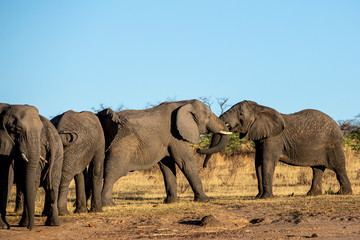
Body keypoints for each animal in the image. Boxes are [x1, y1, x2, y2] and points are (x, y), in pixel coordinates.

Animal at [97, 99, 231, 206]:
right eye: (208, 117)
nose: (198, 150)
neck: (183, 103)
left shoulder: (168, 139)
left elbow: (167, 166)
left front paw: (171, 202)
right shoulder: (175, 135)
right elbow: (185, 161)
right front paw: (205, 200)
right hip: (122, 144)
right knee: (113, 171)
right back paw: (108, 204)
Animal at [201, 100, 352, 198]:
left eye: (241, 115)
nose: (204, 166)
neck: (260, 108)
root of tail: (339, 127)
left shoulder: (274, 138)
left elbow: (267, 162)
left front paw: (267, 197)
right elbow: (258, 163)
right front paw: (258, 197)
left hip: (333, 144)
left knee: (338, 167)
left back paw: (343, 193)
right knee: (317, 169)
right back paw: (312, 194)